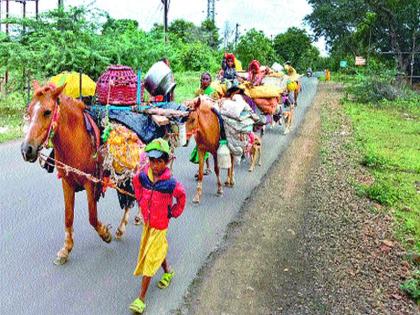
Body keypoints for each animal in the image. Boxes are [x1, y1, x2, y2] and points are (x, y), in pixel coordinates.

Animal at [20, 82, 131, 266]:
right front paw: (66, 249)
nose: (26, 150)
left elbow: (92, 217)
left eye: (47, 112)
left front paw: (105, 234)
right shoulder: (66, 182)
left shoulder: (90, 183)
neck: (75, 140)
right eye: (28, 111)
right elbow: (68, 217)